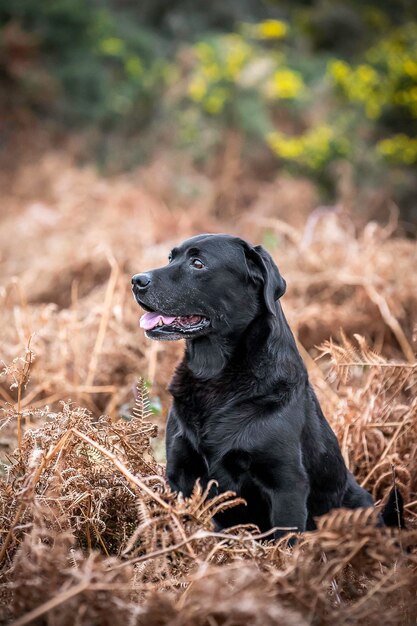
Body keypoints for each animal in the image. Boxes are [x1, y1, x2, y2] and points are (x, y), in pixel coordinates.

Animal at [132, 234, 402, 536]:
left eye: (198, 263)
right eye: (170, 258)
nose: (136, 280)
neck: (215, 375)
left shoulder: (286, 484)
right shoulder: (180, 474)